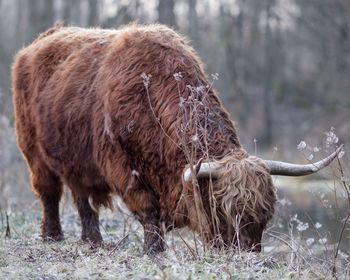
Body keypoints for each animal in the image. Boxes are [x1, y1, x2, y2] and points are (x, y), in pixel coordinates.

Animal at [12, 24, 344, 254]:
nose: (247, 254)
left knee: (82, 198)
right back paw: (53, 235)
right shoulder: (123, 166)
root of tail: (37, 43)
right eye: (224, 210)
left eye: (264, 214)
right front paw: (155, 250)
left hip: (76, 162)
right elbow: (148, 210)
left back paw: (92, 240)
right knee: (49, 193)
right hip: (34, 153)